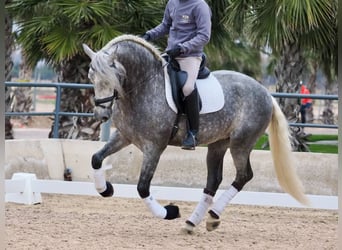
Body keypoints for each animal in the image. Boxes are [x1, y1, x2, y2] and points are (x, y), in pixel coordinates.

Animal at [82, 34, 308, 232]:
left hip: (241, 143)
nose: (101, 114)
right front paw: (105, 189)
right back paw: (194, 222)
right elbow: (96, 158)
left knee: (244, 175)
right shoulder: (124, 136)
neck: (144, 87)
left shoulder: (154, 146)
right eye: (91, 76)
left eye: (114, 77)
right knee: (213, 180)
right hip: (219, 144)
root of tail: (266, 93)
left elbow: (143, 187)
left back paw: (213, 214)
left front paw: (170, 212)